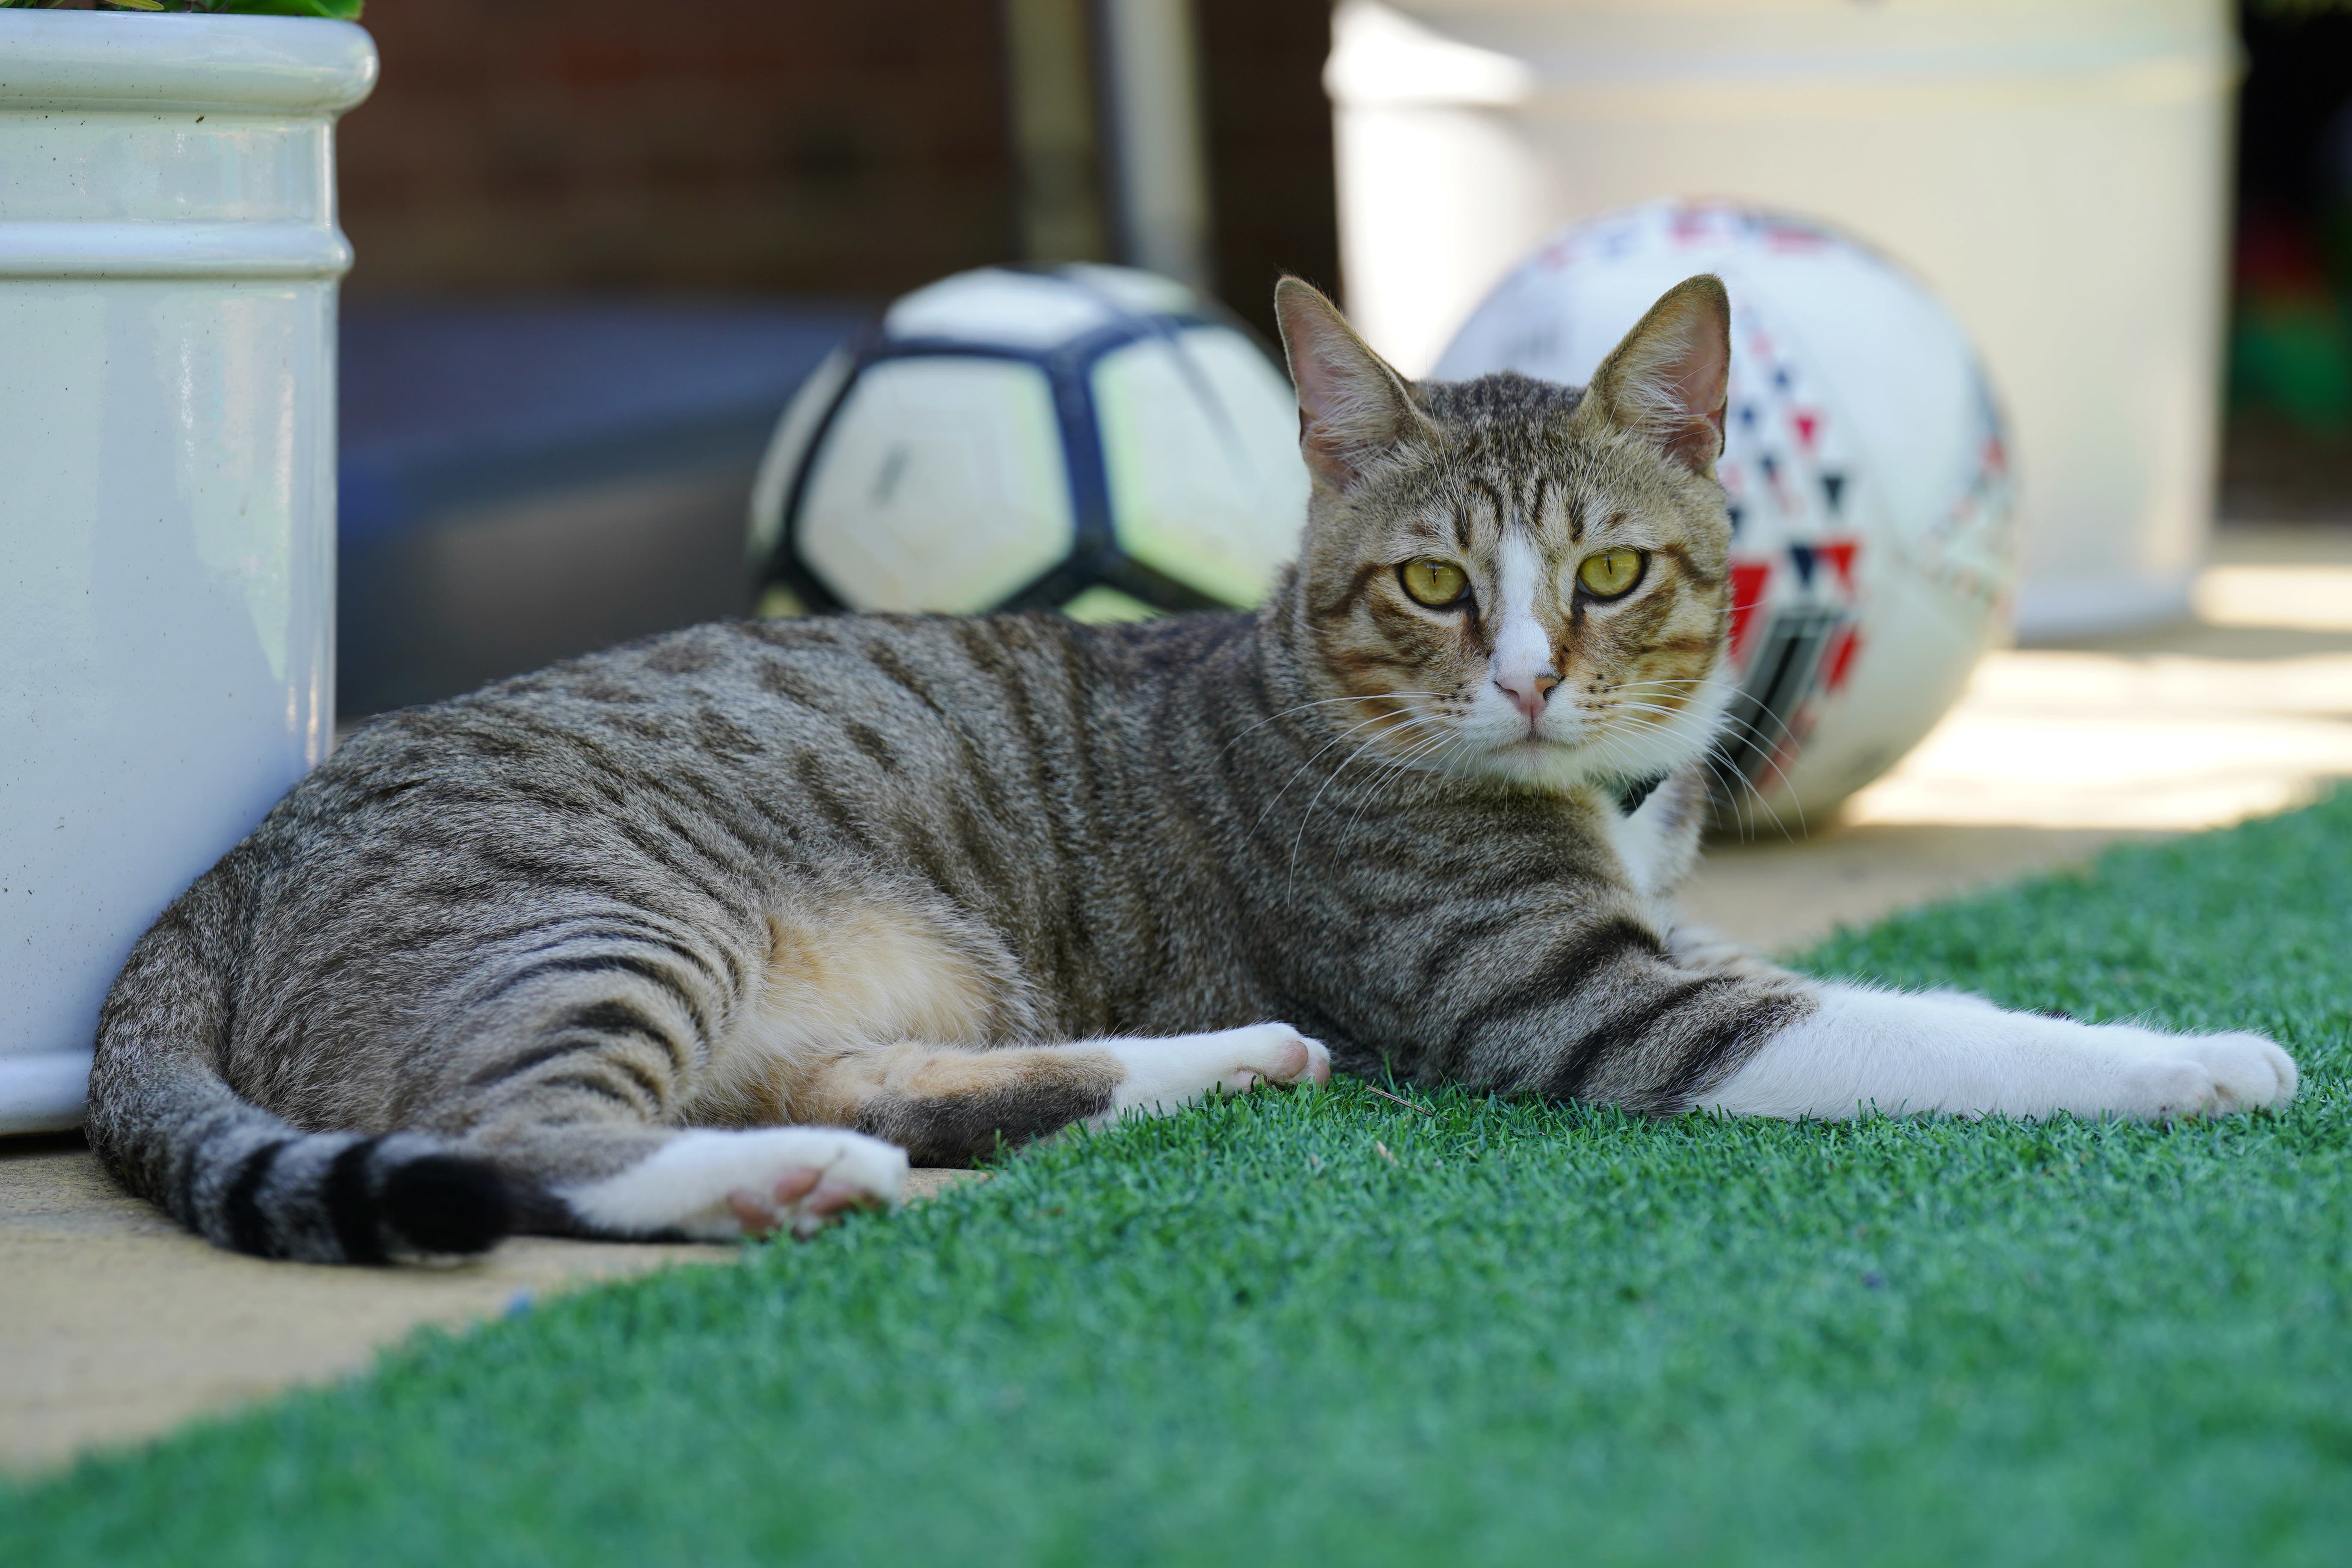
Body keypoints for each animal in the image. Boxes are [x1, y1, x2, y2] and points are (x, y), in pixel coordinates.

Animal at [92, 278, 2296, 1260]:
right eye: (1431, 582)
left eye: (1605, 573)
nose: (1524, 682)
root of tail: (210, 877)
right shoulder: (1586, 1000)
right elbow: (1940, 1027)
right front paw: (2196, 1055)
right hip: (598, 926)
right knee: (532, 1137)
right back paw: (768, 1181)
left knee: (867, 1077)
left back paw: (1214, 1062)